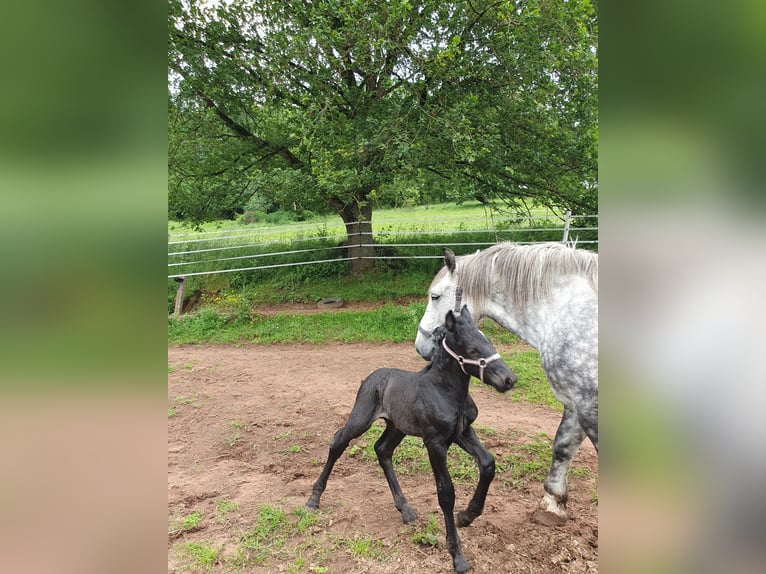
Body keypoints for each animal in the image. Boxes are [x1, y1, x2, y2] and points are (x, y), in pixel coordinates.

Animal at [308, 310, 520, 574]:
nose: (509, 379)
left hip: (397, 427)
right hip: (360, 419)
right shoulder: (435, 442)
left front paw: (467, 515)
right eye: (472, 349)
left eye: (489, 341)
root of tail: (370, 377)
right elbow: (446, 492)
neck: (446, 392)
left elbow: (488, 464)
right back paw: (314, 498)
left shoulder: (463, 433)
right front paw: (457, 556)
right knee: (338, 442)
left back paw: (405, 509)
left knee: (382, 450)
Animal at [416, 243, 596, 528]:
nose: (420, 345)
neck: (565, 311)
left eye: (435, 296)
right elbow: (563, 446)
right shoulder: (577, 398)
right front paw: (552, 505)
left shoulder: (590, 403)